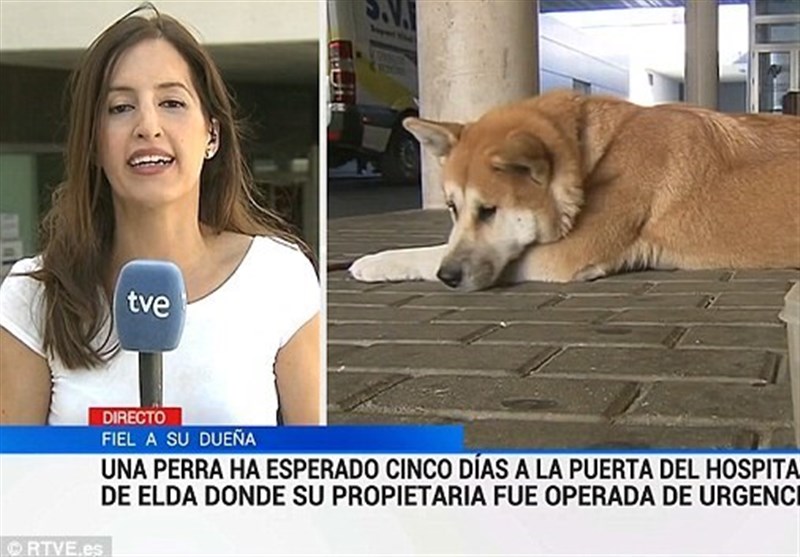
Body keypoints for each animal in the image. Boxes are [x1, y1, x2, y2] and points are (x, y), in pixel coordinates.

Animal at [348, 90, 800, 292]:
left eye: (489, 210)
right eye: (451, 208)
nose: (449, 277)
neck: (592, 155)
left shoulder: (563, 255)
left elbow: (432, 253)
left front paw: (377, 262)